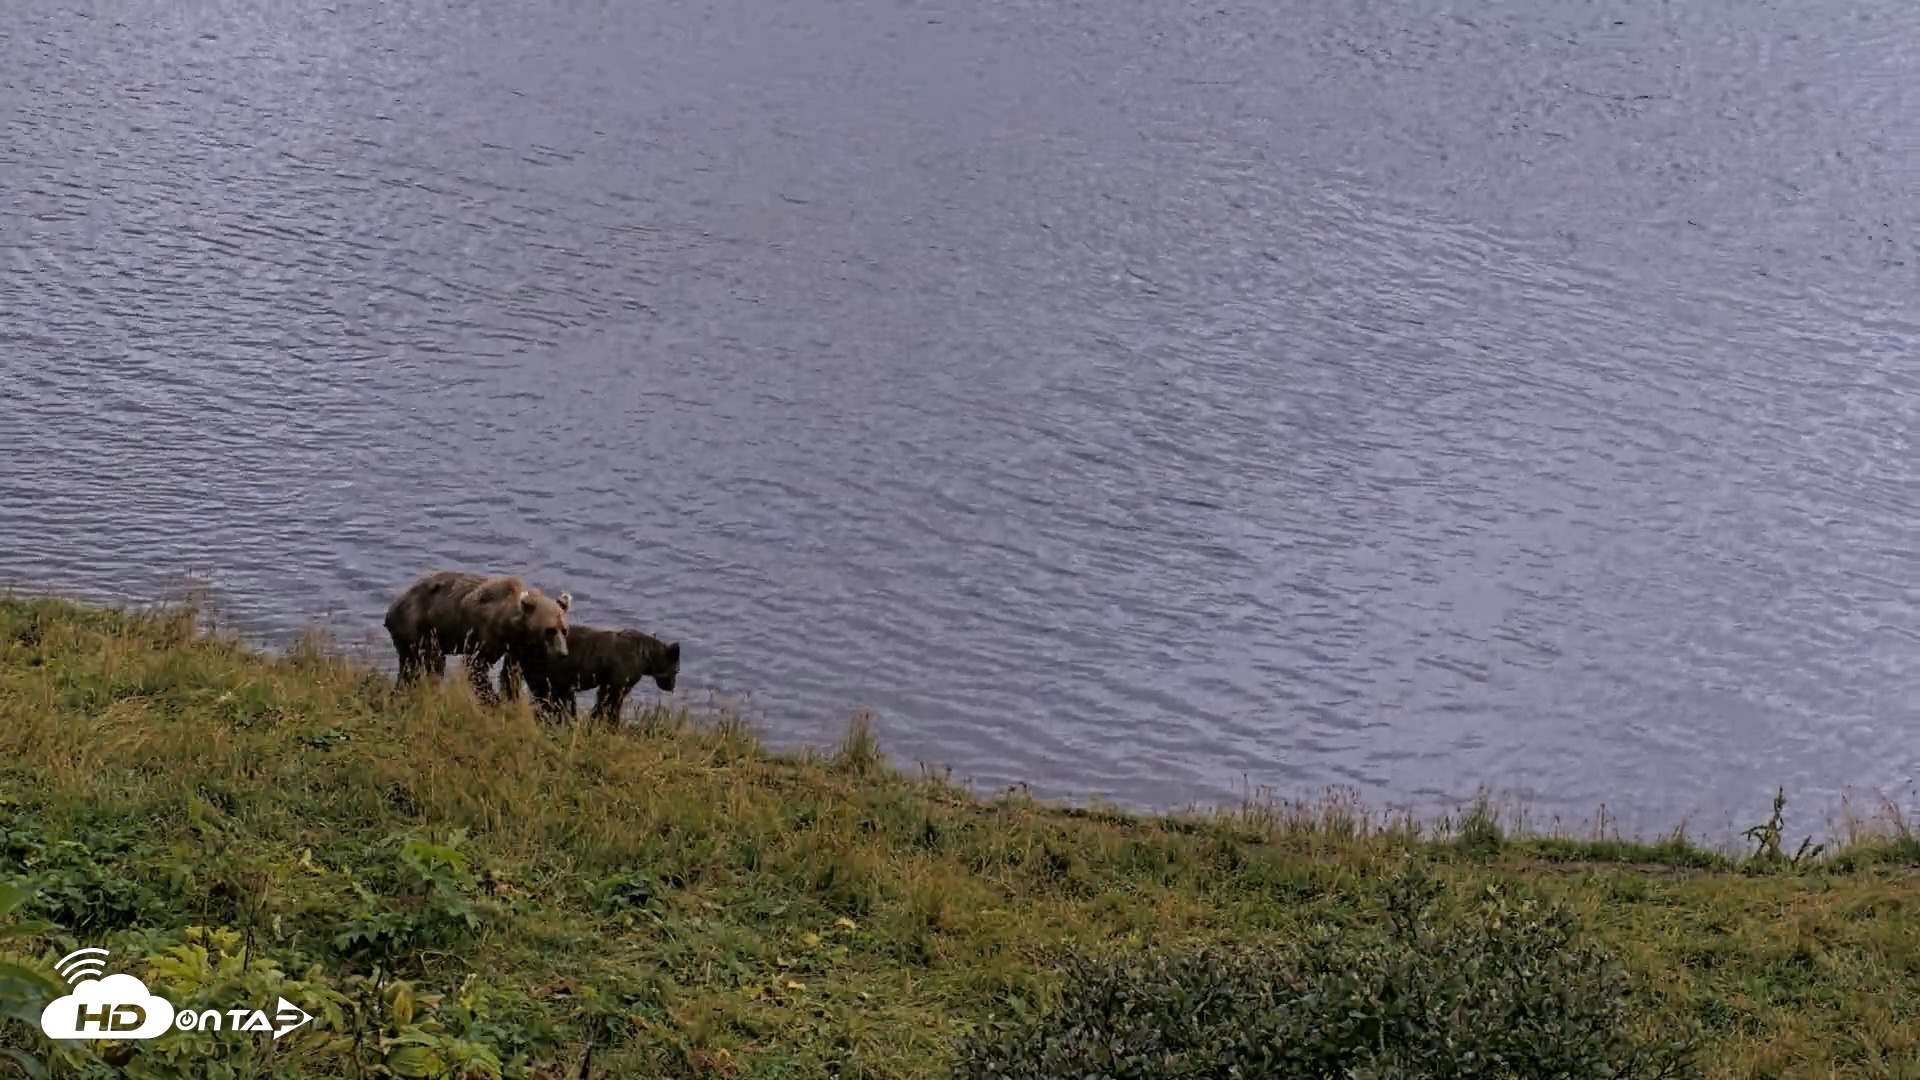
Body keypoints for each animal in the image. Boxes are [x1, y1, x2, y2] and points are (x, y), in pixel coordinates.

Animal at [383, 570, 572, 706]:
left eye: (564, 630)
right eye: (550, 630)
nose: (563, 653)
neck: (509, 624)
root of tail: (392, 608)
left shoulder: (517, 648)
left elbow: (511, 675)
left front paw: (510, 700)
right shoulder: (484, 636)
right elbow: (476, 667)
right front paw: (494, 702)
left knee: (412, 669)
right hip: (417, 627)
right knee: (427, 665)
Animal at [506, 623, 680, 726]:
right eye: (677, 670)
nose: (672, 686)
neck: (645, 657)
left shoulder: (606, 684)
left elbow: (601, 704)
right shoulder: (619, 685)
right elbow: (612, 706)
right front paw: (612, 724)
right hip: (547, 676)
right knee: (547, 701)